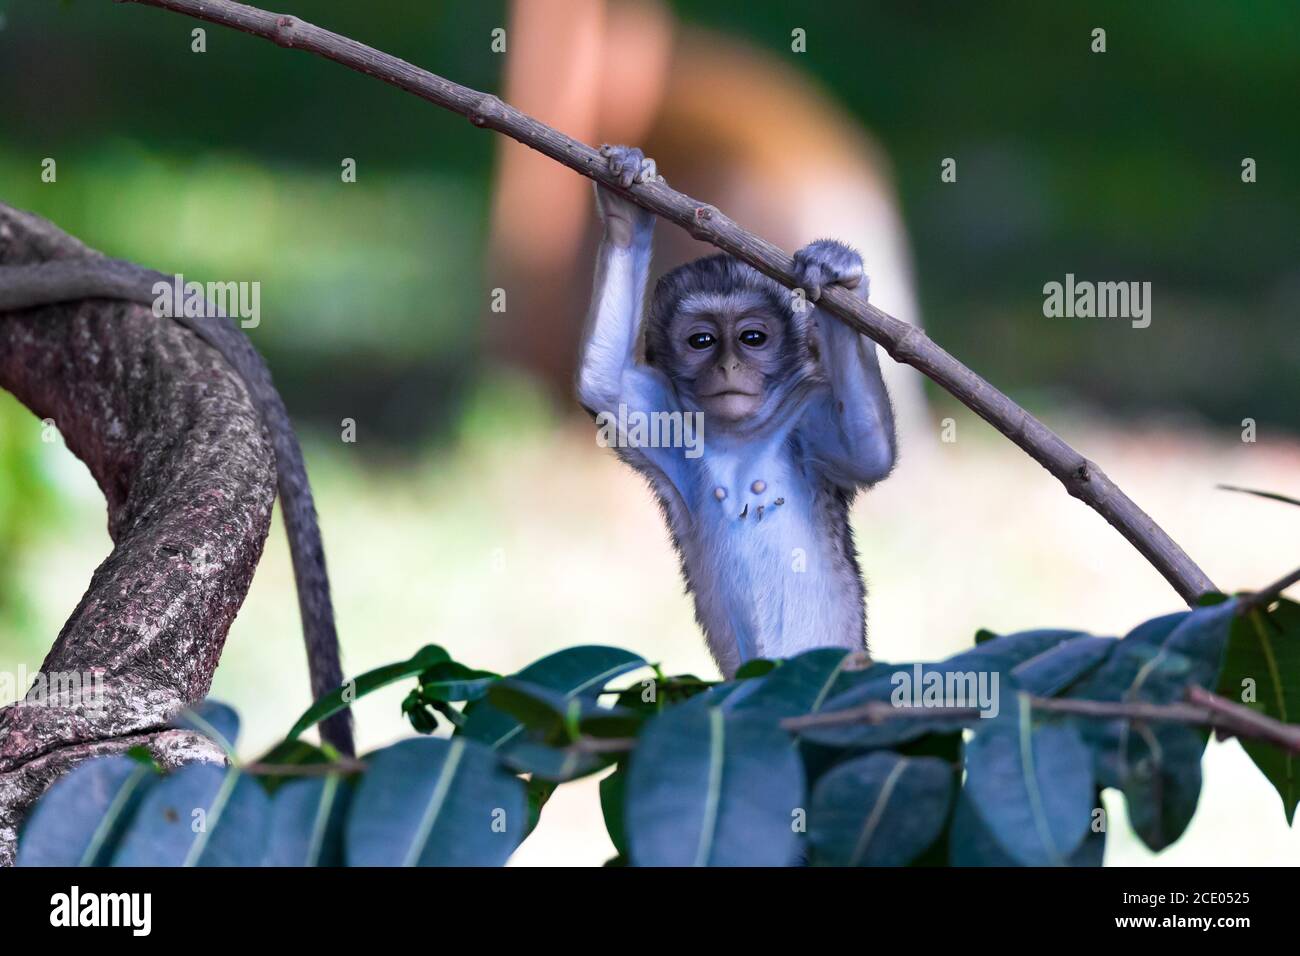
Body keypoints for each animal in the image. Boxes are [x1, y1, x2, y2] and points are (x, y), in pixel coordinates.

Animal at [577, 145, 894, 676]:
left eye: (752, 337)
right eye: (702, 341)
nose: (727, 365)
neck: (742, 436)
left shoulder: (805, 423)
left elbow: (869, 454)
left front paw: (841, 277)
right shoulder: (673, 428)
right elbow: (602, 384)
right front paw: (627, 205)